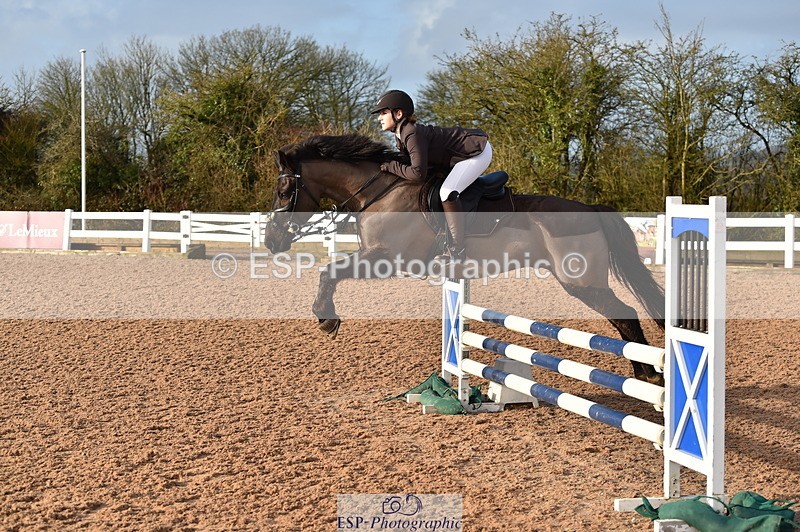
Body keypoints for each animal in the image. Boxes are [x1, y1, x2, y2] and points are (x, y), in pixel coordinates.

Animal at [263, 133, 666, 385]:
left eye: (283, 191)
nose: (271, 241)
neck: (378, 192)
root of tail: (591, 209)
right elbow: (330, 271)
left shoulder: (385, 258)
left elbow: (330, 271)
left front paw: (326, 318)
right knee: (623, 317)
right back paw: (644, 373)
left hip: (582, 281)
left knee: (625, 315)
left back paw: (648, 374)